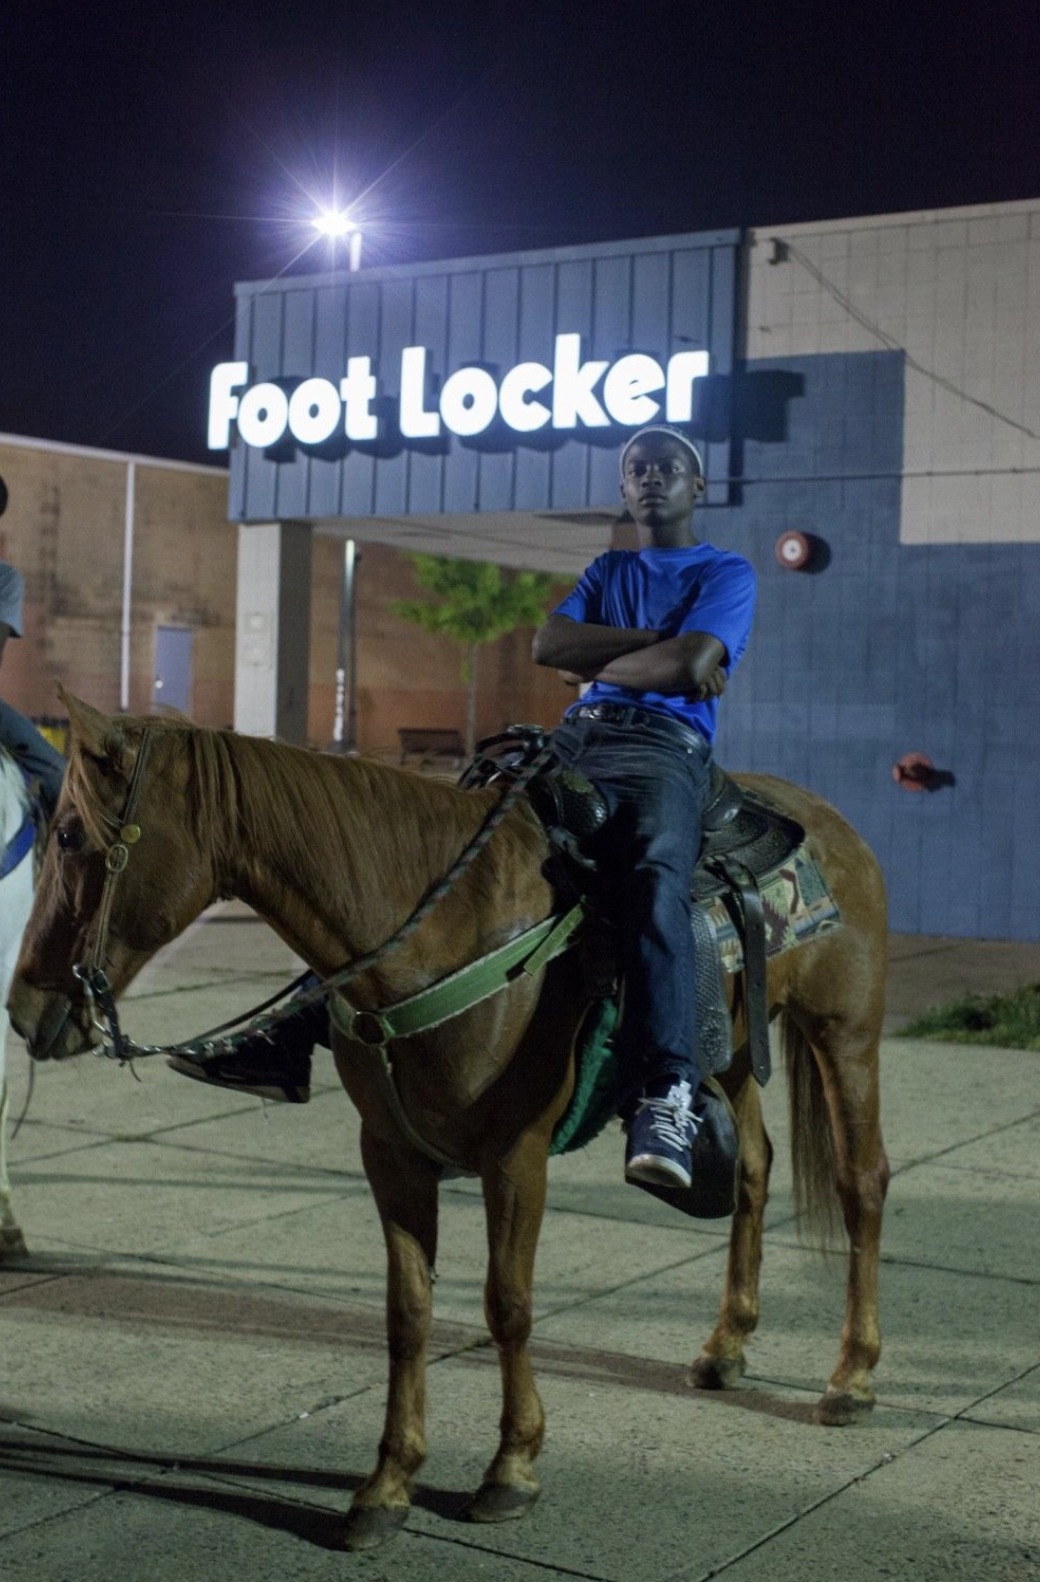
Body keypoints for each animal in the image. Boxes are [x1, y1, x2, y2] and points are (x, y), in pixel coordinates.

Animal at [8, 699, 886, 1550]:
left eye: (70, 833)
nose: (22, 1009)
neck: (445, 928)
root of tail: (830, 819)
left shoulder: (515, 1157)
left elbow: (508, 1304)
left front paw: (512, 1469)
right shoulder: (390, 1157)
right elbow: (408, 1313)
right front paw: (387, 1485)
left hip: (843, 1032)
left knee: (861, 1182)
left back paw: (852, 1377)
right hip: (732, 1046)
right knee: (754, 1168)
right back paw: (727, 1345)